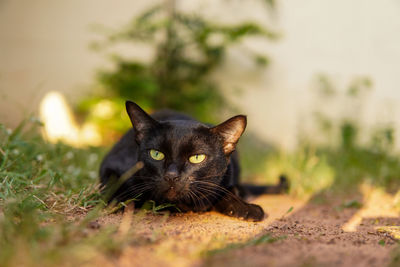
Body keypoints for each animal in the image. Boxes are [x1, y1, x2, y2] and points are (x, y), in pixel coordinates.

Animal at [100, 100, 288, 222]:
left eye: (197, 158)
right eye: (156, 154)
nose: (171, 175)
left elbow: (224, 190)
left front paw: (244, 207)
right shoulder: (111, 170)